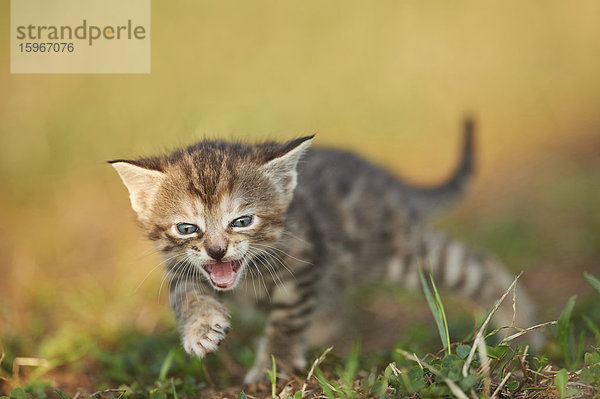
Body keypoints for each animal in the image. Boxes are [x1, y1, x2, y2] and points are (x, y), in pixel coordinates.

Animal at [110, 121, 536, 384]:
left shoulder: (304, 265)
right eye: (187, 228)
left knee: (478, 265)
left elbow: (286, 321)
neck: (246, 277)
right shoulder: (181, 265)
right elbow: (186, 294)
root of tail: (386, 179)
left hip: (402, 254)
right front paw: (201, 329)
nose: (216, 251)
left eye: (242, 221)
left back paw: (519, 330)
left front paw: (273, 365)